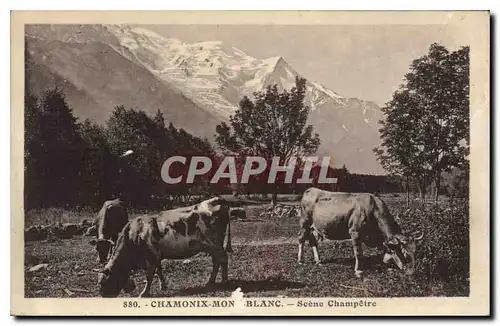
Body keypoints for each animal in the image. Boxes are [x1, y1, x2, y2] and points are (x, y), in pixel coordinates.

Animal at [98, 196, 237, 298]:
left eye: (103, 282)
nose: (103, 296)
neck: (133, 234)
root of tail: (218, 199)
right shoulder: (157, 255)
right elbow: (159, 271)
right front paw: (163, 286)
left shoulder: (151, 255)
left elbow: (149, 275)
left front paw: (144, 293)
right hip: (211, 246)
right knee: (216, 261)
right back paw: (210, 282)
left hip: (215, 244)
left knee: (223, 259)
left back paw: (224, 281)